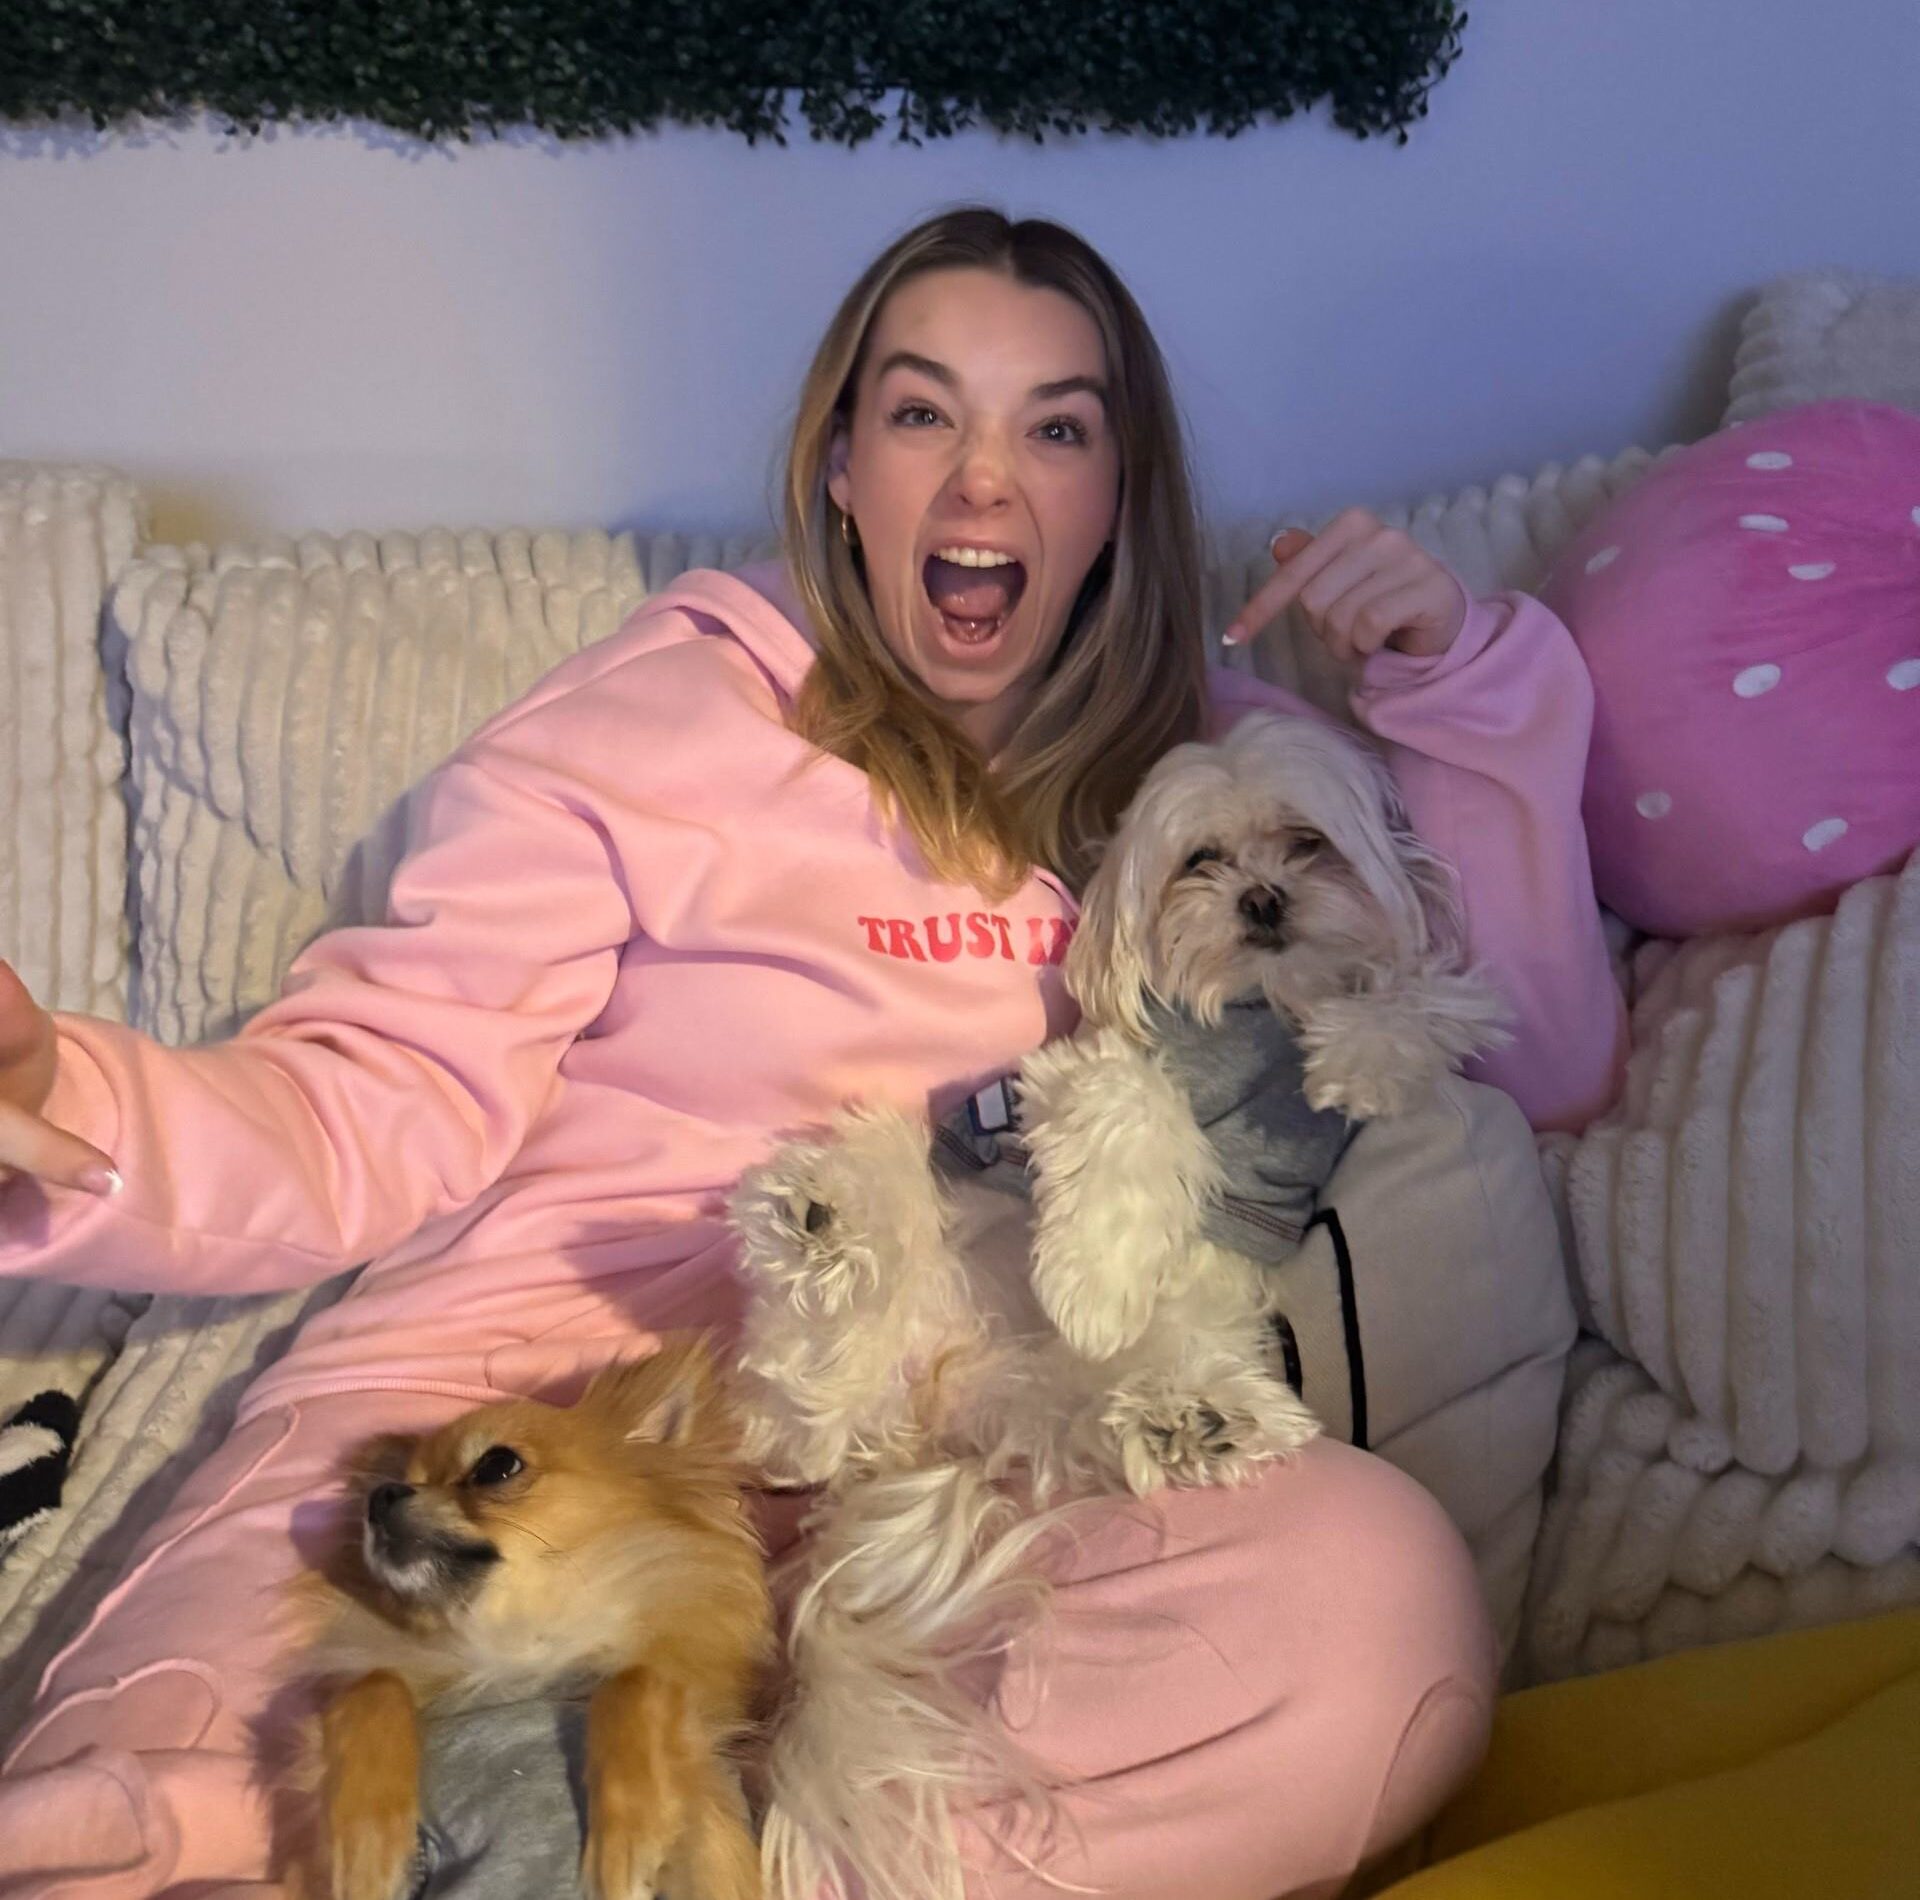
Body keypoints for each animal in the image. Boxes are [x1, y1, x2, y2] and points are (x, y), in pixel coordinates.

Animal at [289, 1336, 771, 1900]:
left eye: (496, 1465)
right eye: (395, 1482)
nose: (379, 1495)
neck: (515, 1648)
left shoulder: (712, 1836)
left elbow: (632, 1681)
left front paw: (626, 1841)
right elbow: (374, 1685)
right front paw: (369, 1847)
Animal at [732, 710, 1506, 1900]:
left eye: (1308, 843)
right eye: (1201, 860)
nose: (1262, 900)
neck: (1257, 1015)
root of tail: (938, 1419)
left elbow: (1425, 999)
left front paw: (1359, 1056)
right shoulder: (1094, 1070)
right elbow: (1130, 1109)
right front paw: (1093, 1283)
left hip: (1099, 1393)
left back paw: (1197, 1424)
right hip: (905, 1263)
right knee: (811, 1391)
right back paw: (823, 1227)